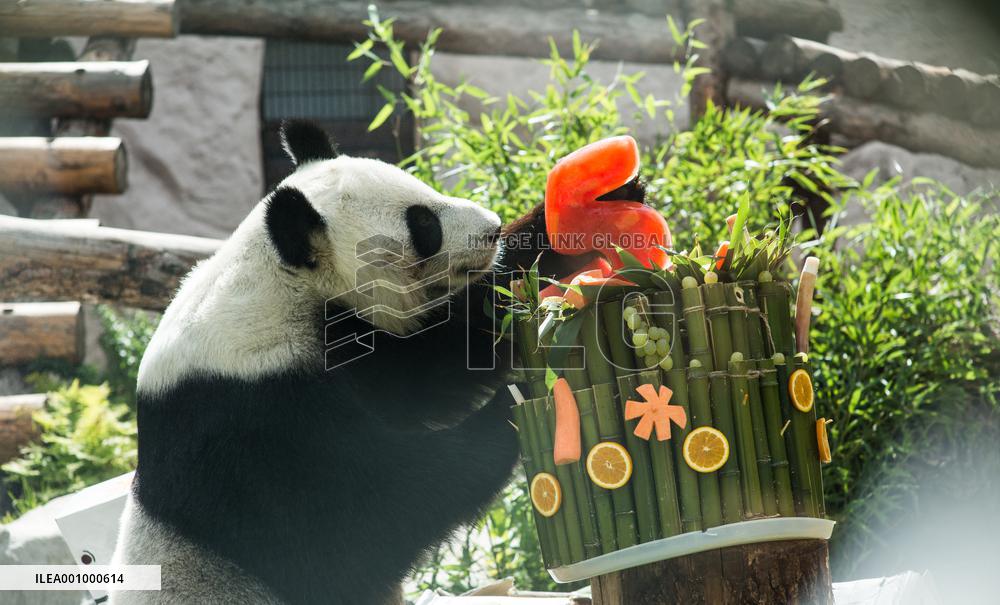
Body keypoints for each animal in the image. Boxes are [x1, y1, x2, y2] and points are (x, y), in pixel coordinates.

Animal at [109, 121, 567, 605]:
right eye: (422, 221)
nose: (493, 229)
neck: (281, 282)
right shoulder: (253, 423)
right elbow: (368, 517)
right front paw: (517, 406)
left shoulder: (352, 352)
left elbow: (442, 355)